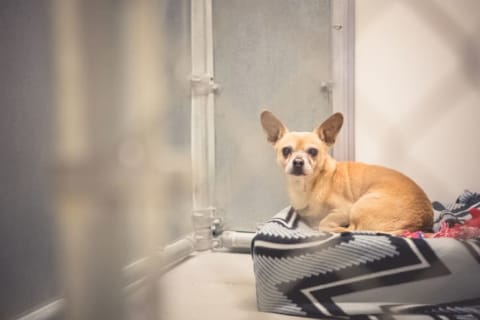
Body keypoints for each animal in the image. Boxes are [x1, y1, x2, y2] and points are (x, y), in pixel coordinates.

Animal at [260, 110, 434, 235]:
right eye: (286, 151)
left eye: (313, 152)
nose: (297, 162)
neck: (306, 186)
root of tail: (421, 222)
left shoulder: (344, 210)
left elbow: (325, 222)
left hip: (359, 207)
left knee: (353, 229)